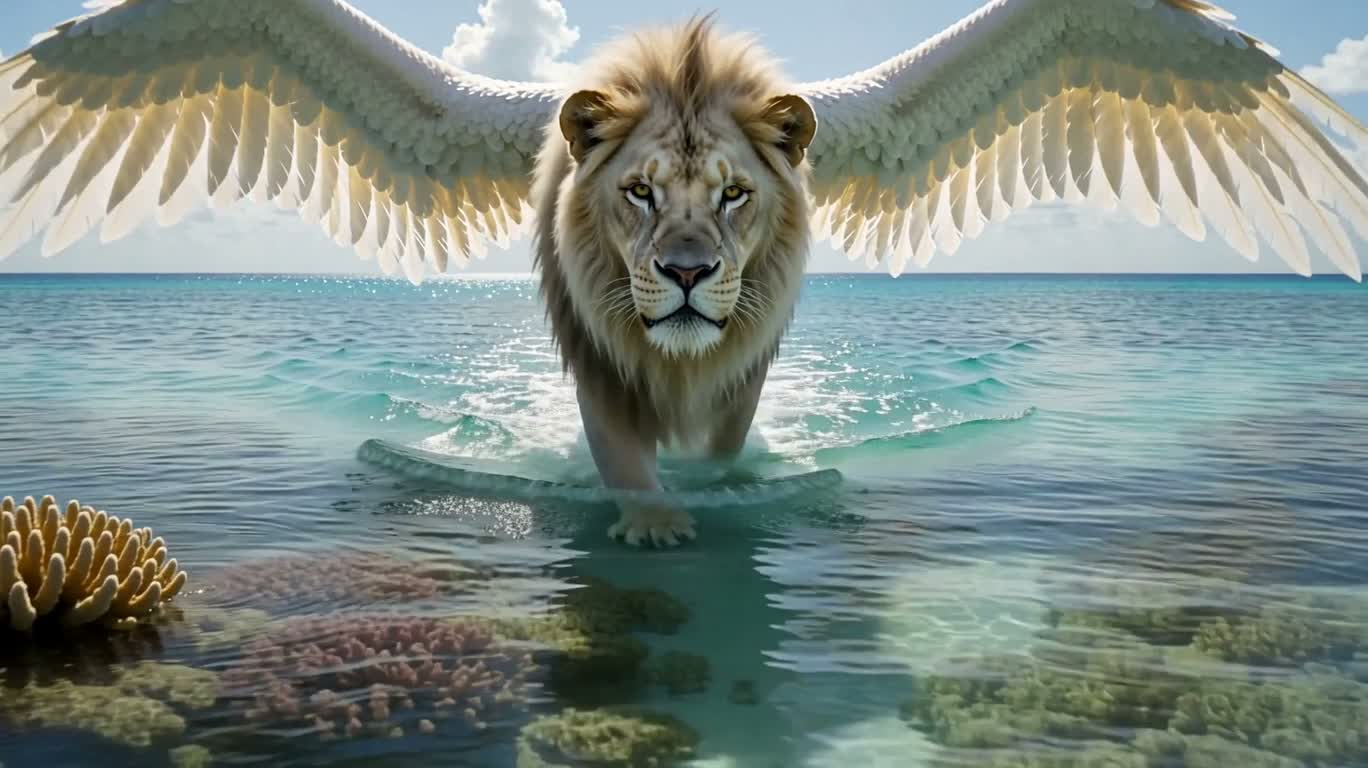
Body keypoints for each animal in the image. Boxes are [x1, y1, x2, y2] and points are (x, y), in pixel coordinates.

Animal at [531, 17, 817, 547]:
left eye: (733, 193)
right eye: (641, 191)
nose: (687, 272)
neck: (680, 362)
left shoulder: (744, 375)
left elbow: (722, 451)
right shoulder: (598, 358)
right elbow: (622, 456)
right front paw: (656, 525)